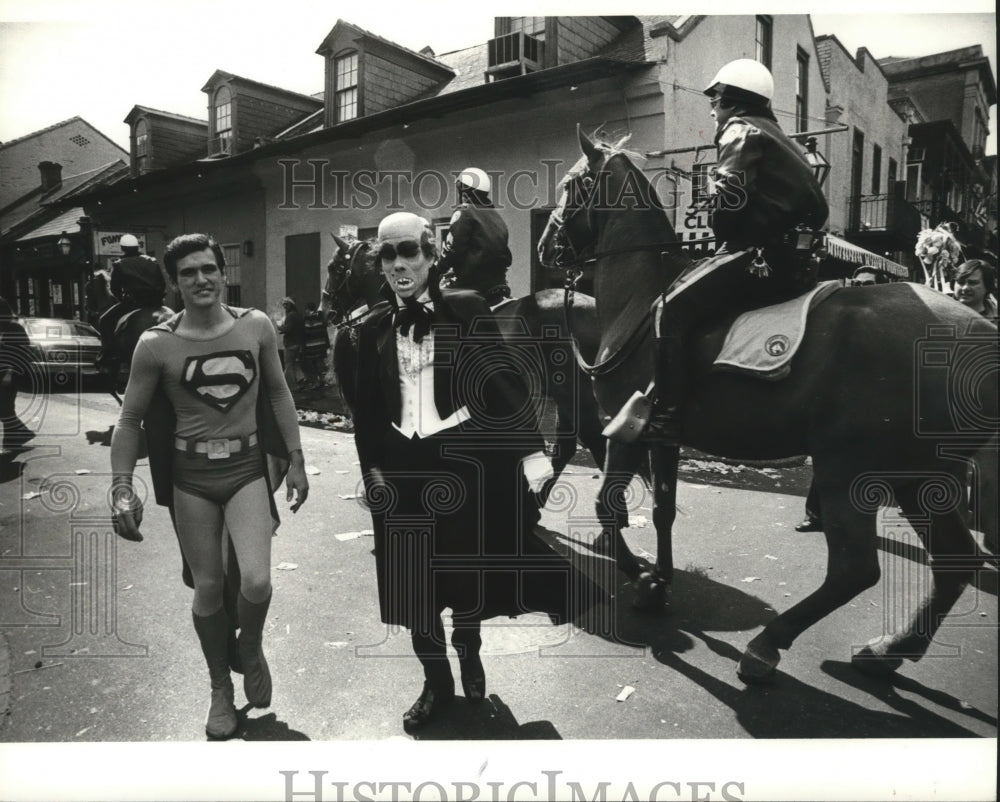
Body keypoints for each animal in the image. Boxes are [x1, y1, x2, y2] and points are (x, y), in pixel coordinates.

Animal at [536, 128, 996, 684]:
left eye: (571, 184)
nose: (545, 246)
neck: (640, 299)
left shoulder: (624, 429)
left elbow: (608, 506)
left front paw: (640, 575)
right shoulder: (664, 435)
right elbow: (664, 509)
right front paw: (661, 579)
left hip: (852, 468)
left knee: (855, 569)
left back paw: (768, 645)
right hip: (922, 476)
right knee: (954, 562)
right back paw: (891, 647)